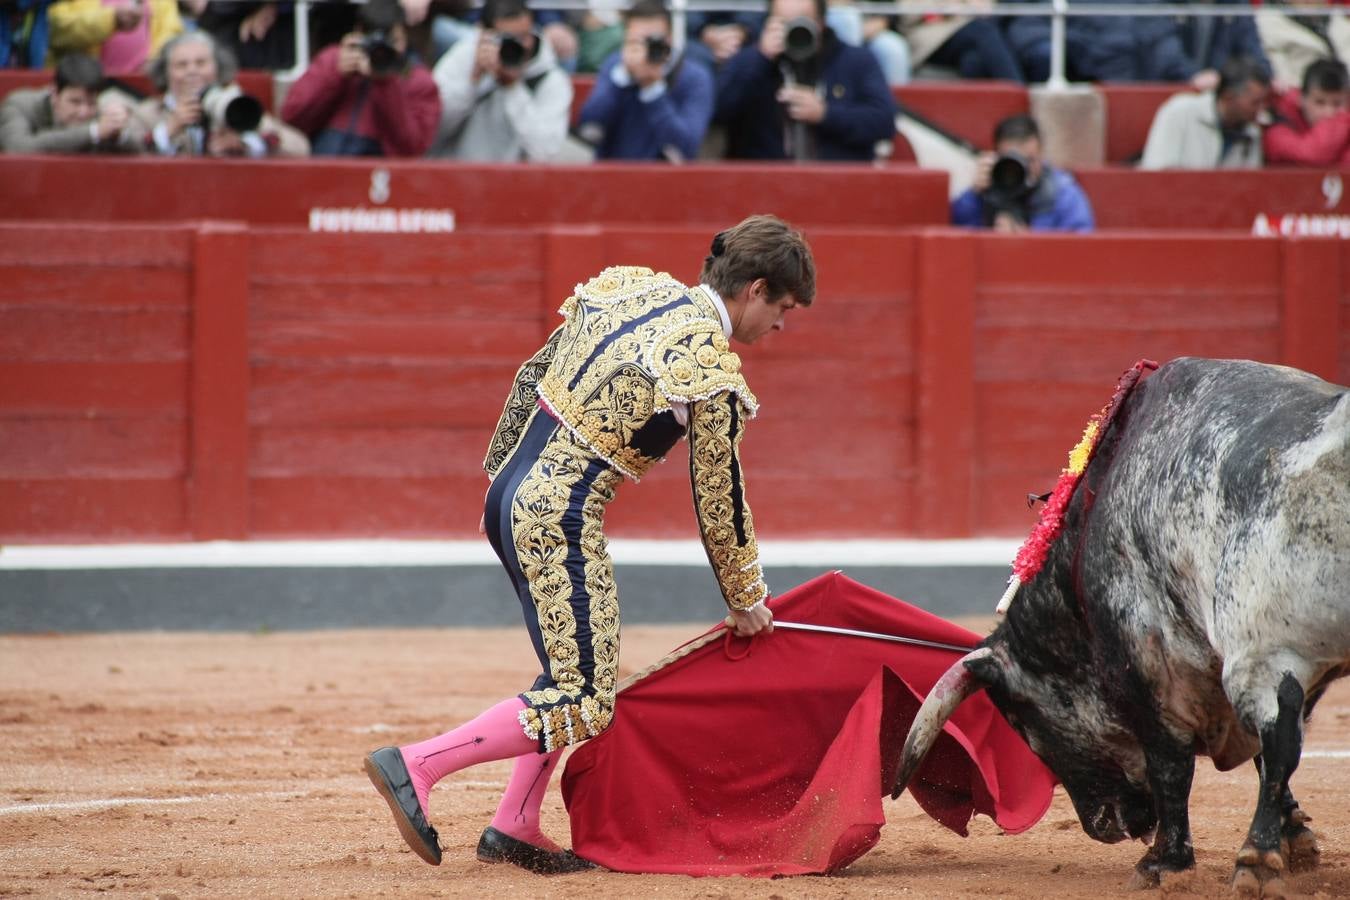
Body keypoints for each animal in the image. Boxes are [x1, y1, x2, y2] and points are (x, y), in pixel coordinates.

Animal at [891, 356, 1344, 895]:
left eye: (1023, 723)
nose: (1103, 826)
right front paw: (1297, 842)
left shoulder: (1153, 663)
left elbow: (1175, 763)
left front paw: (1164, 863)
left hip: (1262, 649)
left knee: (1278, 743)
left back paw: (1253, 861)